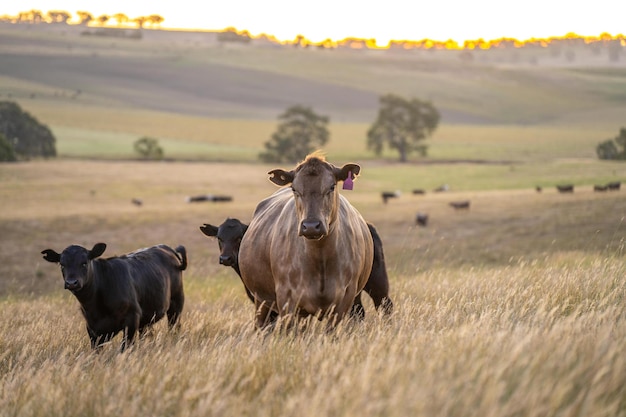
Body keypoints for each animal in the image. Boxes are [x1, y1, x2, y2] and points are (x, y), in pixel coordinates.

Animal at [41, 242, 185, 350]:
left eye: (84, 263)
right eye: (62, 264)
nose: (71, 283)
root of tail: (166, 247)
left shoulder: (132, 318)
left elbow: (125, 348)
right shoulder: (92, 329)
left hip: (176, 303)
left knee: (174, 327)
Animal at [197, 218, 392, 318]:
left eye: (239, 238)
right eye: (219, 238)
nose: (225, 258)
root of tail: (367, 226)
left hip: (377, 281)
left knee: (385, 305)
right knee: (357, 312)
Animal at [238, 153, 376, 328]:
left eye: (332, 187)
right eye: (294, 189)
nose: (311, 226)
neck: (320, 257)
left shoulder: (345, 299)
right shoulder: (286, 298)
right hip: (261, 300)